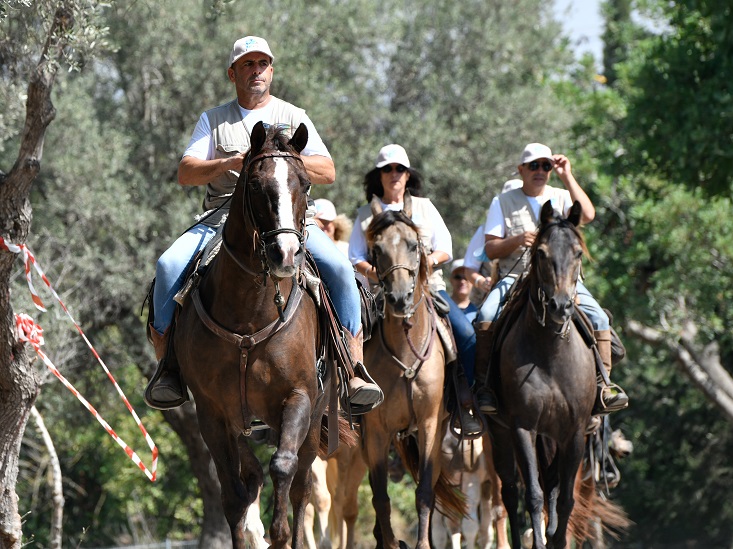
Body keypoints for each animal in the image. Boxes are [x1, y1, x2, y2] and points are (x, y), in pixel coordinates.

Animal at [170, 122, 330, 544]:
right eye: (256, 186)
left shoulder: (299, 397)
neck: (250, 316)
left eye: (305, 183)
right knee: (251, 479)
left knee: (302, 488)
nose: (286, 254)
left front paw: (279, 534)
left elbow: (284, 467)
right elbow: (233, 496)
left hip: (314, 420)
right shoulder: (211, 412)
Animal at [486, 201, 596, 548]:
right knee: (510, 494)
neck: (550, 355)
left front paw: (556, 539)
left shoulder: (574, 432)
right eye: (541, 254)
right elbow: (532, 495)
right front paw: (538, 540)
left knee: (552, 486)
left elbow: (565, 498)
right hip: (501, 433)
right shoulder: (522, 427)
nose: (560, 306)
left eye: (577, 253)